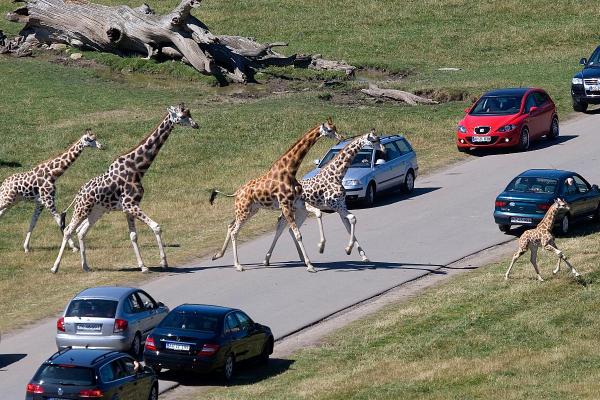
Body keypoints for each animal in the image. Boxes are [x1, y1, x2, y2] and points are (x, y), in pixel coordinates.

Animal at [50, 103, 198, 274]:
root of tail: (78, 194)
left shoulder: (129, 207)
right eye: (182, 116)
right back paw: (54, 267)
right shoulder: (130, 204)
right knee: (68, 230)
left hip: (97, 211)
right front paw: (163, 262)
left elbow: (133, 235)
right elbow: (156, 227)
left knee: (81, 231)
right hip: (82, 208)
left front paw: (143, 266)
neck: (137, 168)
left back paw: (86, 266)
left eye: (189, 113)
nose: (196, 125)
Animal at [207, 119, 340, 274]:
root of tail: (236, 193)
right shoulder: (286, 205)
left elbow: (317, 214)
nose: (340, 137)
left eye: (335, 128)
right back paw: (238, 265)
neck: (289, 170)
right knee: (234, 232)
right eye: (330, 130)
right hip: (243, 211)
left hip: (251, 210)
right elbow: (298, 234)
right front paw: (310, 265)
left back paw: (218, 255)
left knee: (230, 225)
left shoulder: (297, 202)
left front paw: (320, 247)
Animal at [262, 130, 384, 266]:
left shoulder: (340, 206)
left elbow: (349, 224)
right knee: (280, 229)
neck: (337, 176)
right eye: (374, 140)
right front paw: (327, 247)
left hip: (300, 212)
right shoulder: (335, 206)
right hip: (290, 211)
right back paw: (267, 259)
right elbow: (351, 219)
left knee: (289, 229)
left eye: (379, 138)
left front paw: (360, 254)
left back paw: (299, 258)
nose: (384, 149)